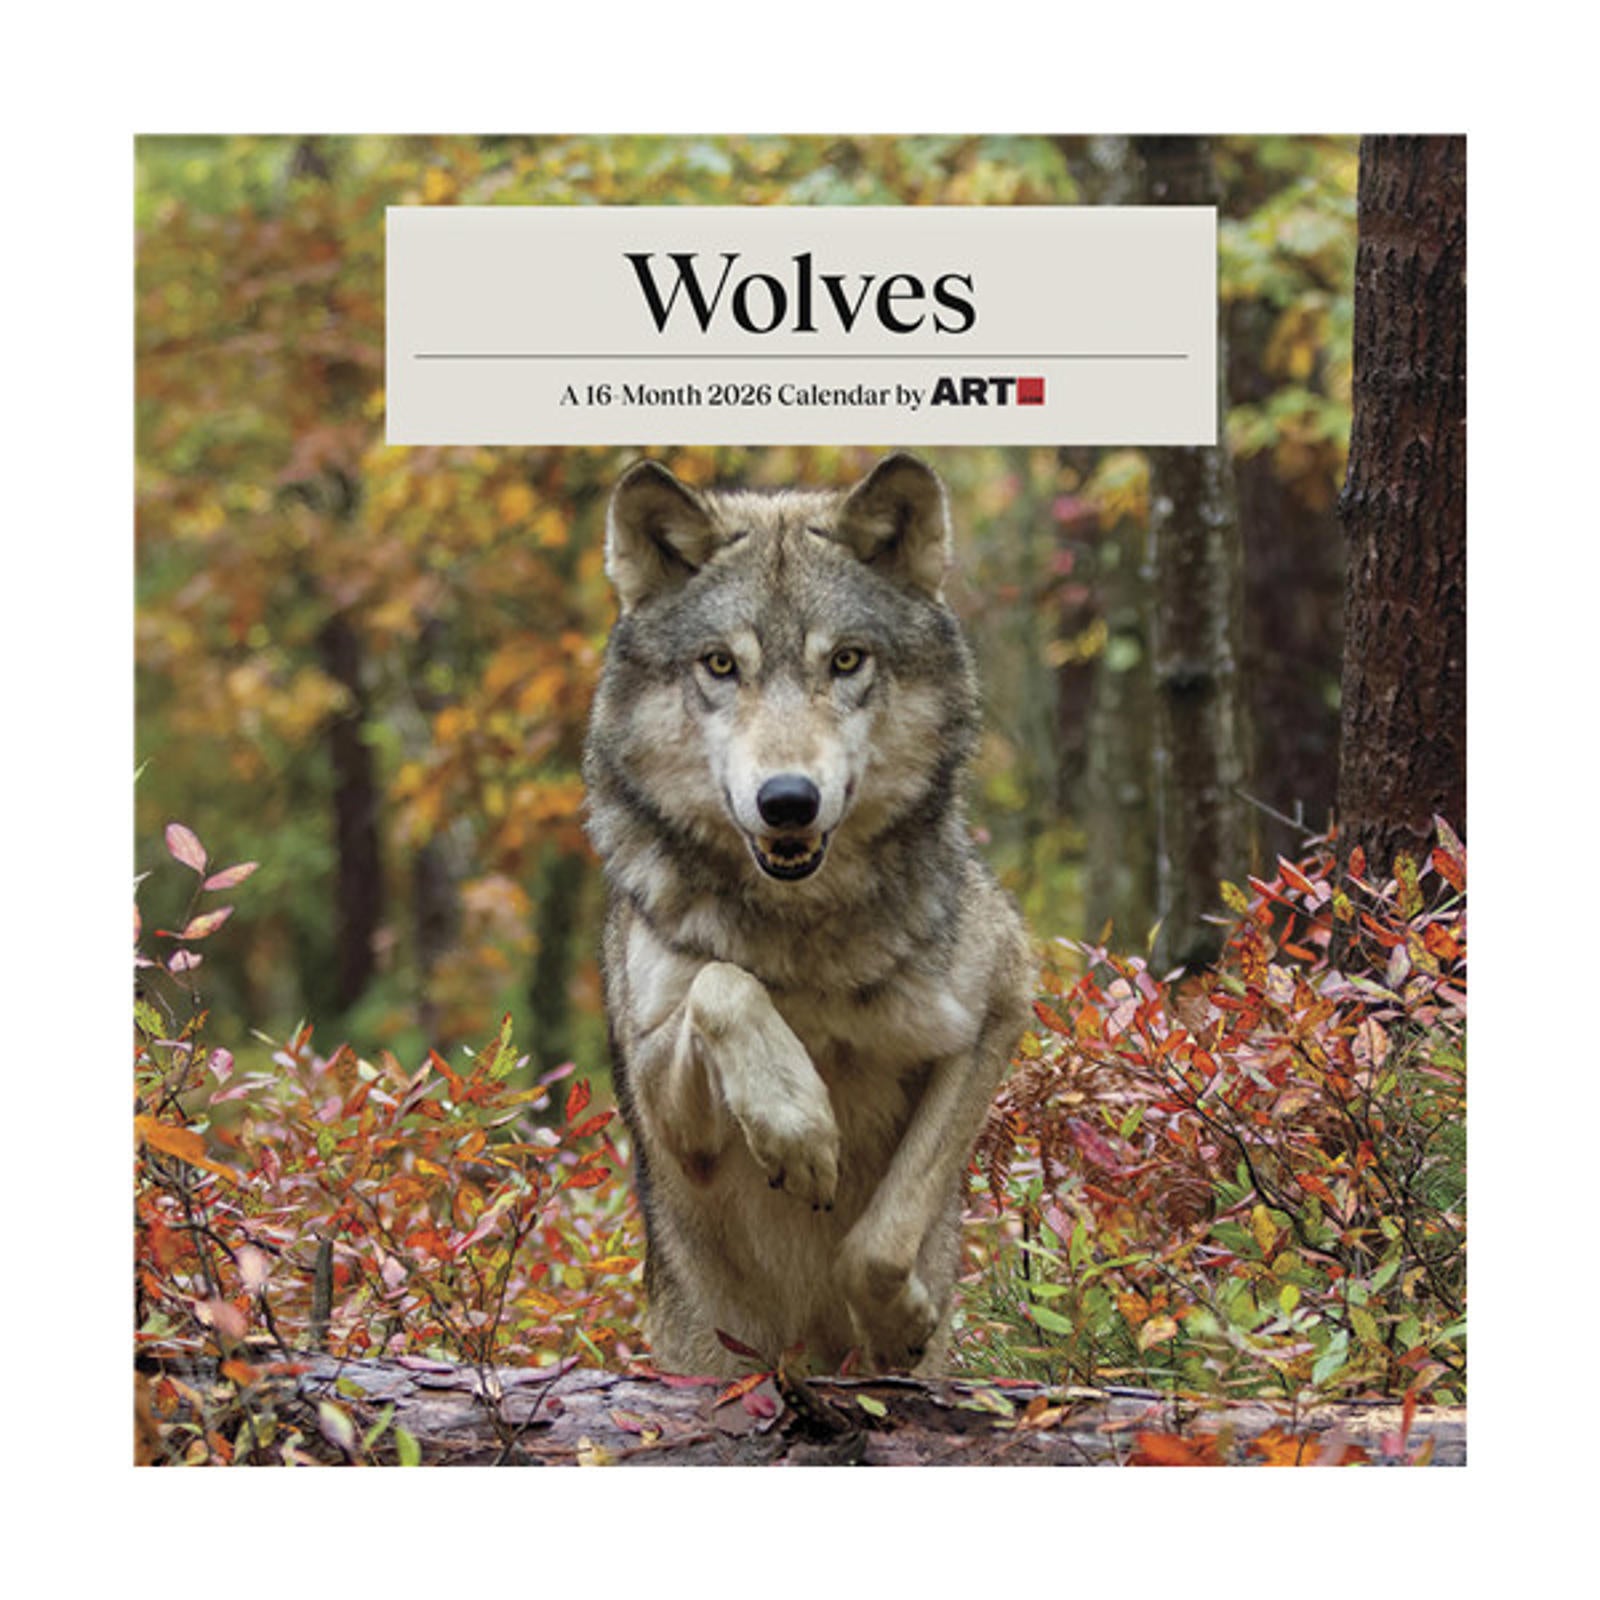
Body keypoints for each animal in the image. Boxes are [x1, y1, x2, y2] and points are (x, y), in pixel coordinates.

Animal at [582, 452, 1033, 1377]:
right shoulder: (673, 1123)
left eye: (847, 660)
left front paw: (896, 1323)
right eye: (721, 665)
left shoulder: (999, 1006)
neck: (805, 932)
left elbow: (880, 1244)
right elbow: (722, 985)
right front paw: (799, 1126)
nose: (787, 800)